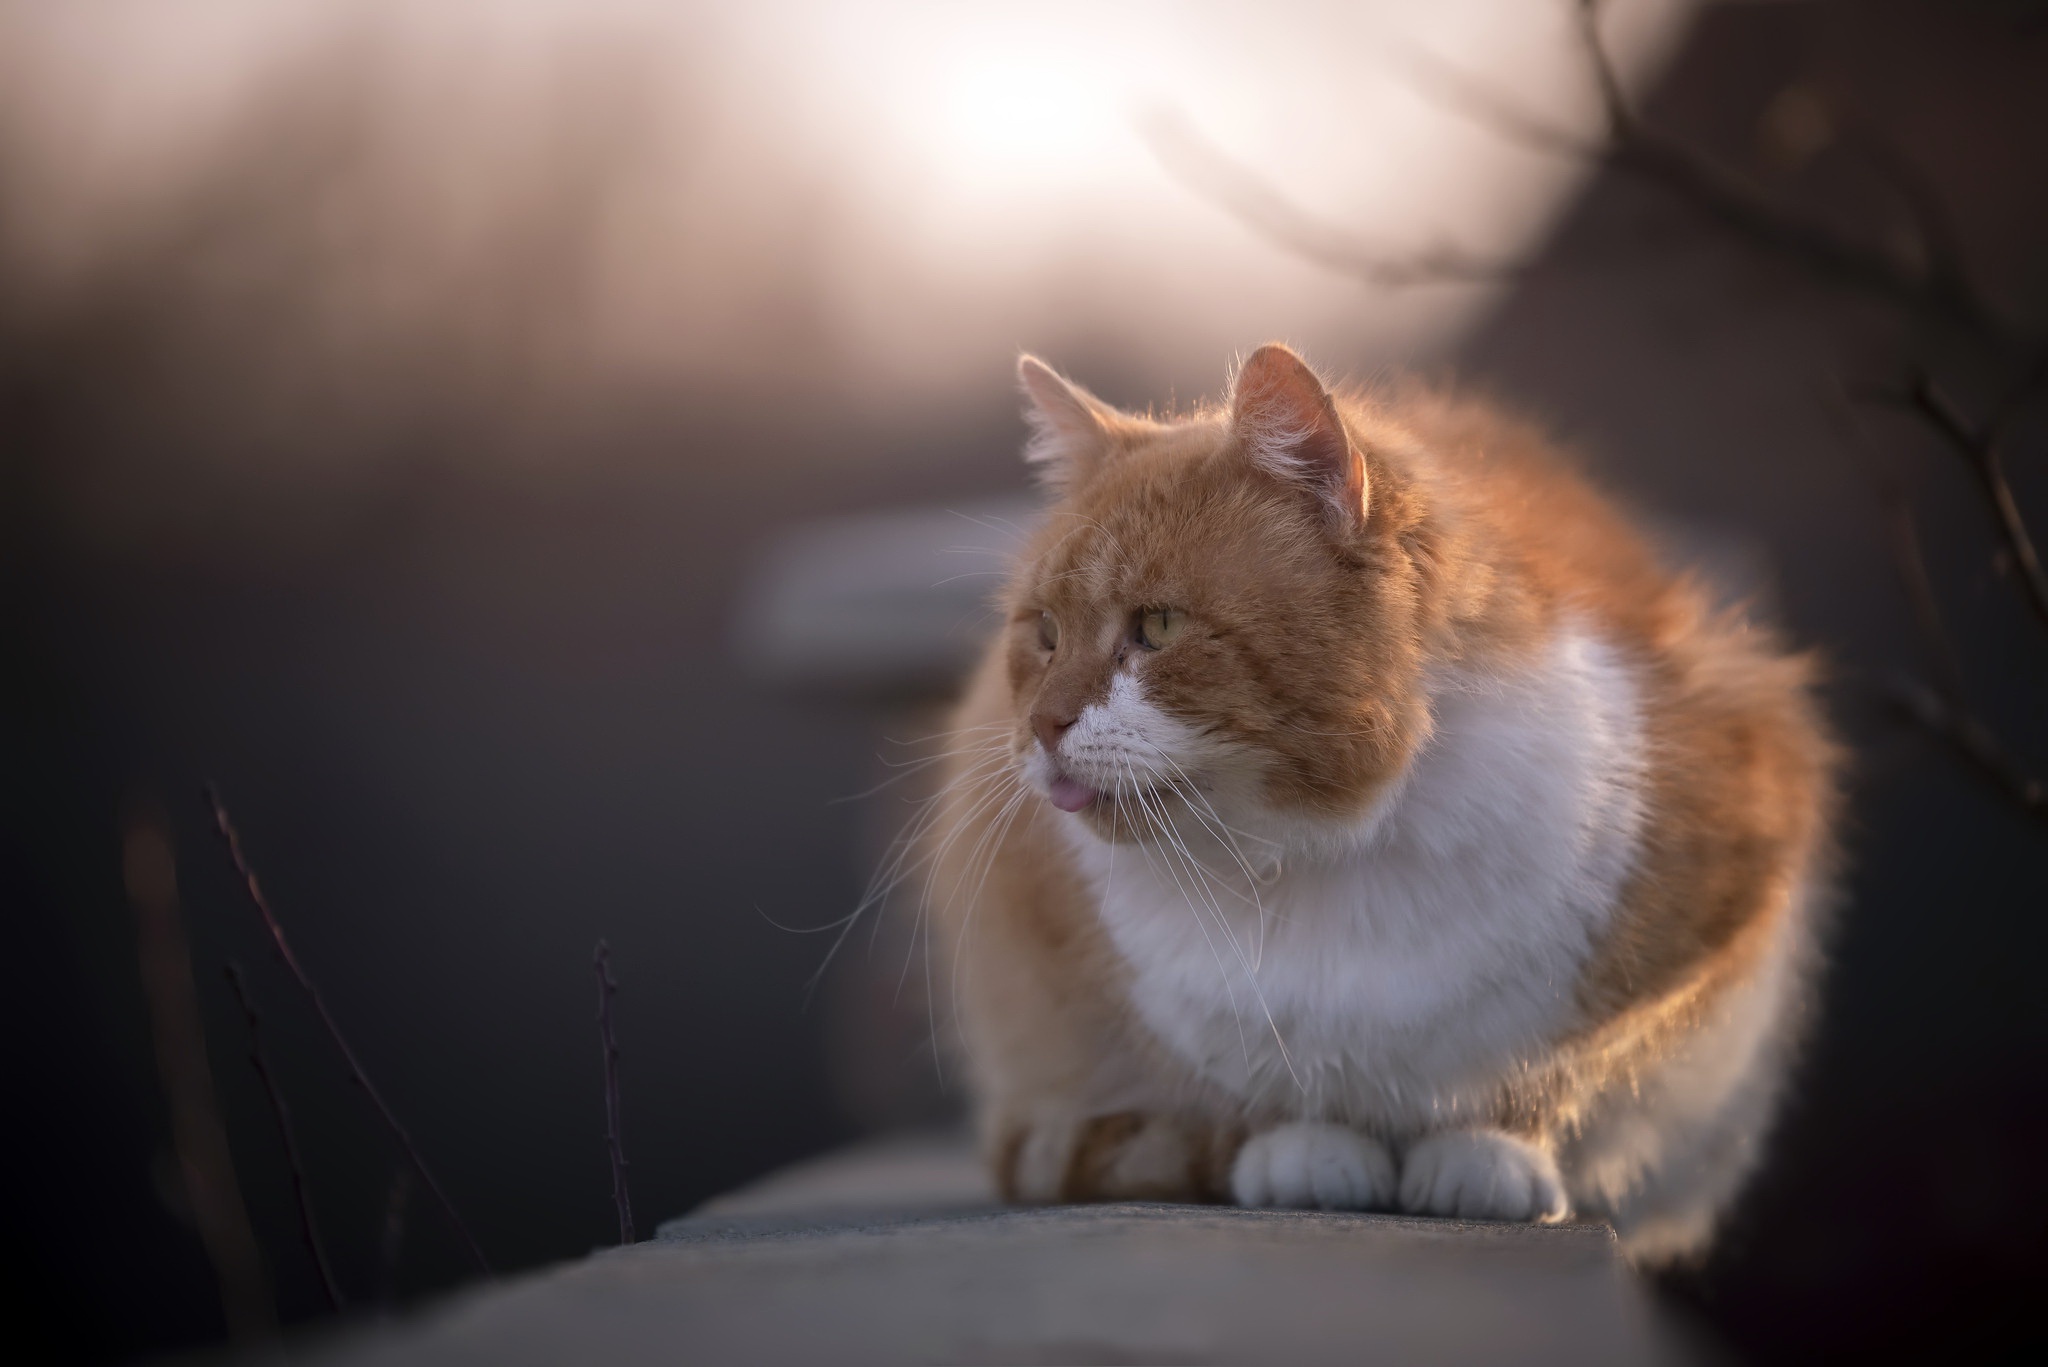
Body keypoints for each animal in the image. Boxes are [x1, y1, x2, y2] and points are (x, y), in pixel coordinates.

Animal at [921, 348, 1835, 1270]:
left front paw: (1490, 1149)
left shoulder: (1720, 885)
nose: (1041, 726)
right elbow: (1238, 1084)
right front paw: (1302, 1145)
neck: (1313, 849)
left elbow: (1569, 1061)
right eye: (1044, 633)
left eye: (1159, 626)